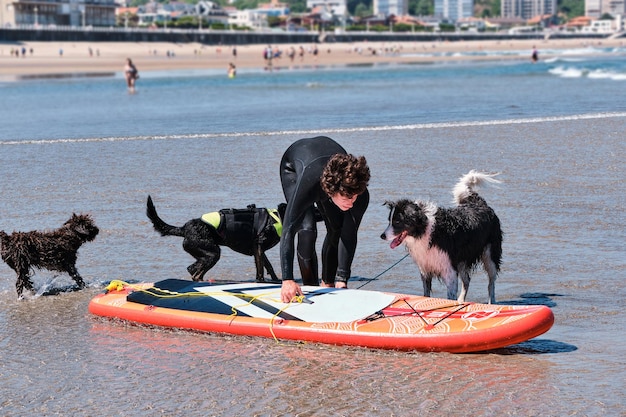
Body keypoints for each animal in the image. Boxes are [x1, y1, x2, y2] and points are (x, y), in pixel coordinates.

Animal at [146, 196, 286, 282]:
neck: (277, 218)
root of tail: (185, 228)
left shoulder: (258, 249)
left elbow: (268, 266)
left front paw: (276, 280)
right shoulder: (258, 245)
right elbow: (261, 268)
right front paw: (262, 281)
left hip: (204, 254)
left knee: (192, 269)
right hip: (213, 253)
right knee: (196, 273)